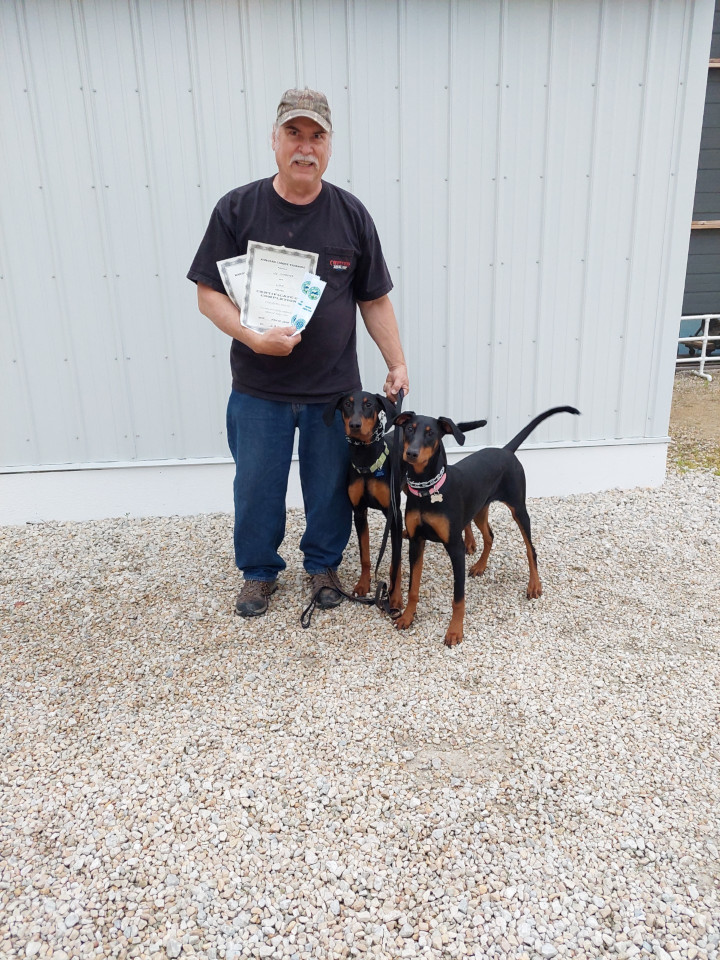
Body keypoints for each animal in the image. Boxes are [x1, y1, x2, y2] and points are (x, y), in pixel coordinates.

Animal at [324, 390, 402, 608]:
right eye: (348, 404)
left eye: (369, 405)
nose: (355, 425)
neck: (366, 459)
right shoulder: (359, 512)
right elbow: (365, 556)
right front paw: (363, 584)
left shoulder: (394, 514)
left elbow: (396, 563)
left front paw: (396, 597)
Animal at [390, 404, 584, 644]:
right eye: (409, 429)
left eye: (430, 433)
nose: (412, 454)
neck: (428, 490)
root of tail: (506, 450)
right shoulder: (416, 541)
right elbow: (413, 588)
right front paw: (407, 617)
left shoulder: (455, 547)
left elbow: (458, 597)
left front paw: (454, 631)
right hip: (479, 509)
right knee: (490, 535)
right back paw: (480, 566)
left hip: (518, 508)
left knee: (531, 549)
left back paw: (534, 585)